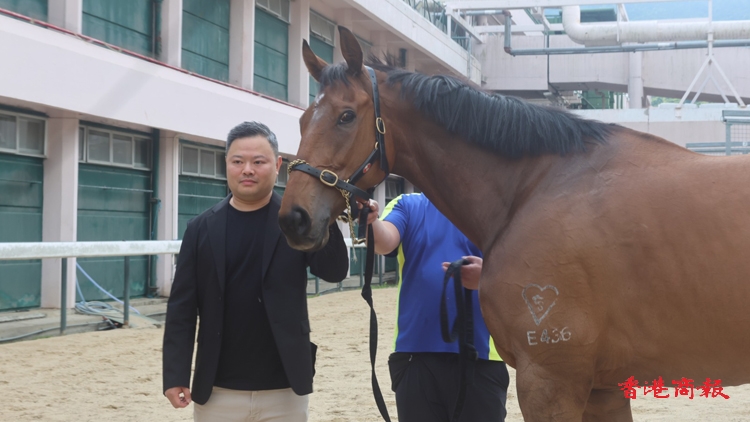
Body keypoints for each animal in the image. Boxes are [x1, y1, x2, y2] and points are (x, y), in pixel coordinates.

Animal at [278, 26, 750, 421]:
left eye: (346, 116)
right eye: (301, 120)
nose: (293, 217)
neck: (537, 188)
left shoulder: (549, 380)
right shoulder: (604, 387)